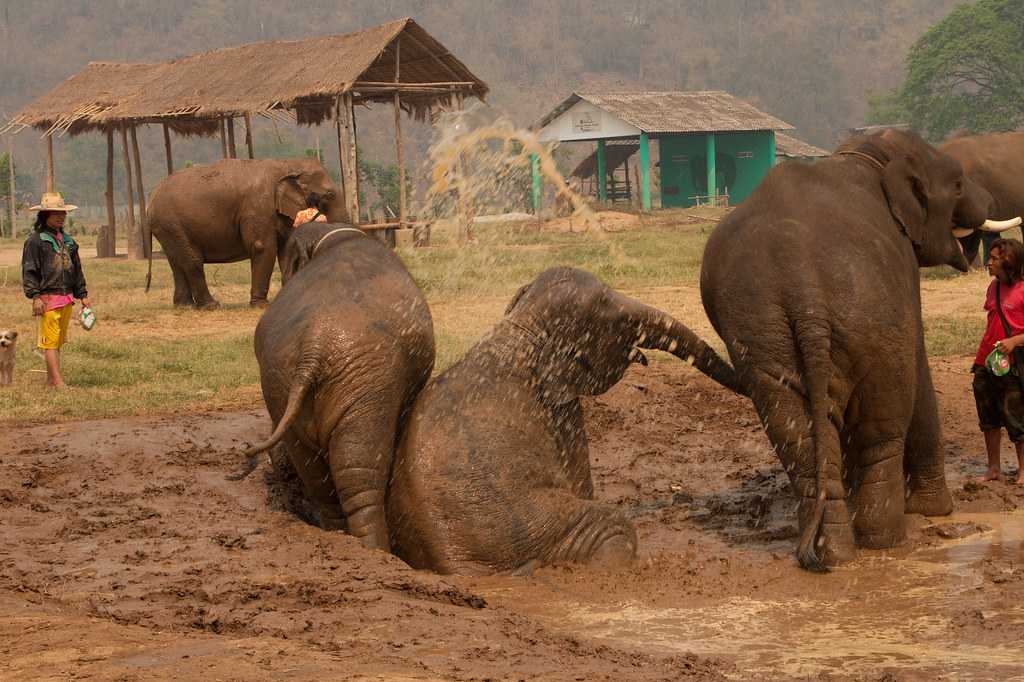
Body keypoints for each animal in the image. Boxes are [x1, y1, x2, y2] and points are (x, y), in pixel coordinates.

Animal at [145, 157, 344, 307]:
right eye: (329, 195)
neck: (286, 163)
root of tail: (150, 201)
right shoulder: (258, 208)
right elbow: (262, 247)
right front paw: (261, 305)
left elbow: (285, 247)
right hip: (172, 224)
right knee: (191, 261)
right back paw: (211, 306)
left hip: (168, 229)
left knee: (176, 262)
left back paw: (185, 306)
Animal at [245, 220, 434, 548]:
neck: (334, 234)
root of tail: (314, 344)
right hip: (368, 386)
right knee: (359, 469)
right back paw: (373, 548)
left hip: (280, 382)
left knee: (316, 473)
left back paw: (335, 534)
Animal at [385, 266, 745, 573]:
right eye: (623, 322)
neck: (525, 326)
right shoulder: (561, 413)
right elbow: (581, 482)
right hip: (549, 529)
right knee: (614, 528)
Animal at [696, 125, 1015, 569]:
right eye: (955, 183)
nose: (988, 203)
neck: (869, 153)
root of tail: (804, 286)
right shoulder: (904, 273)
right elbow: (918, 363)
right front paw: (935, 511)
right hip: (870, 318)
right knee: (883, 426)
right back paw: (884, 540)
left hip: (764, 331)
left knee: (793, 428)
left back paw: (831, 552)